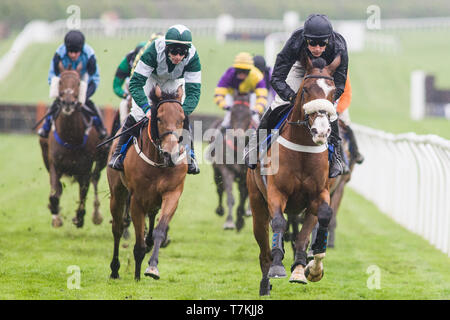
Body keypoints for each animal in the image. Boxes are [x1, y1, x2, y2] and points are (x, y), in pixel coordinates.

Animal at [39, 62, 108, 228]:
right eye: (60, 81)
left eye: (77, 83)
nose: (68, 102)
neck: (70, 137)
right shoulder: (54, 164)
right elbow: (54, 193)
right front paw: (55, 214)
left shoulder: (85, 167)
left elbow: (83, 193)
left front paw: (79, 217)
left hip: (101, 159)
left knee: (95, 180)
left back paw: (96, 214)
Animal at [208, 94, 256, 231]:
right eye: (232, 113)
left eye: (248, 115)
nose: (237, 136)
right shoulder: (226, 170)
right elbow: (230, 196)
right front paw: (229, 222)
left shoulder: (245, 174)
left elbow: (243, 196)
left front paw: (240, 220)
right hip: (216, 172)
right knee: (220, 189)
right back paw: (220, 210)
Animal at [246, 55, 342, 296]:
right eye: (306, 89)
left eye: (333, 92)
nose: (321, 131)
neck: (303, 148)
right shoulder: (276, 192)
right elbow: (279, 222)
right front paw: (277, 266)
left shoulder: (319, 193)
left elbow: (320, 220)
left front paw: (310, 267)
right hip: (257, 203)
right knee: (264, 249)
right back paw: (266, 282)